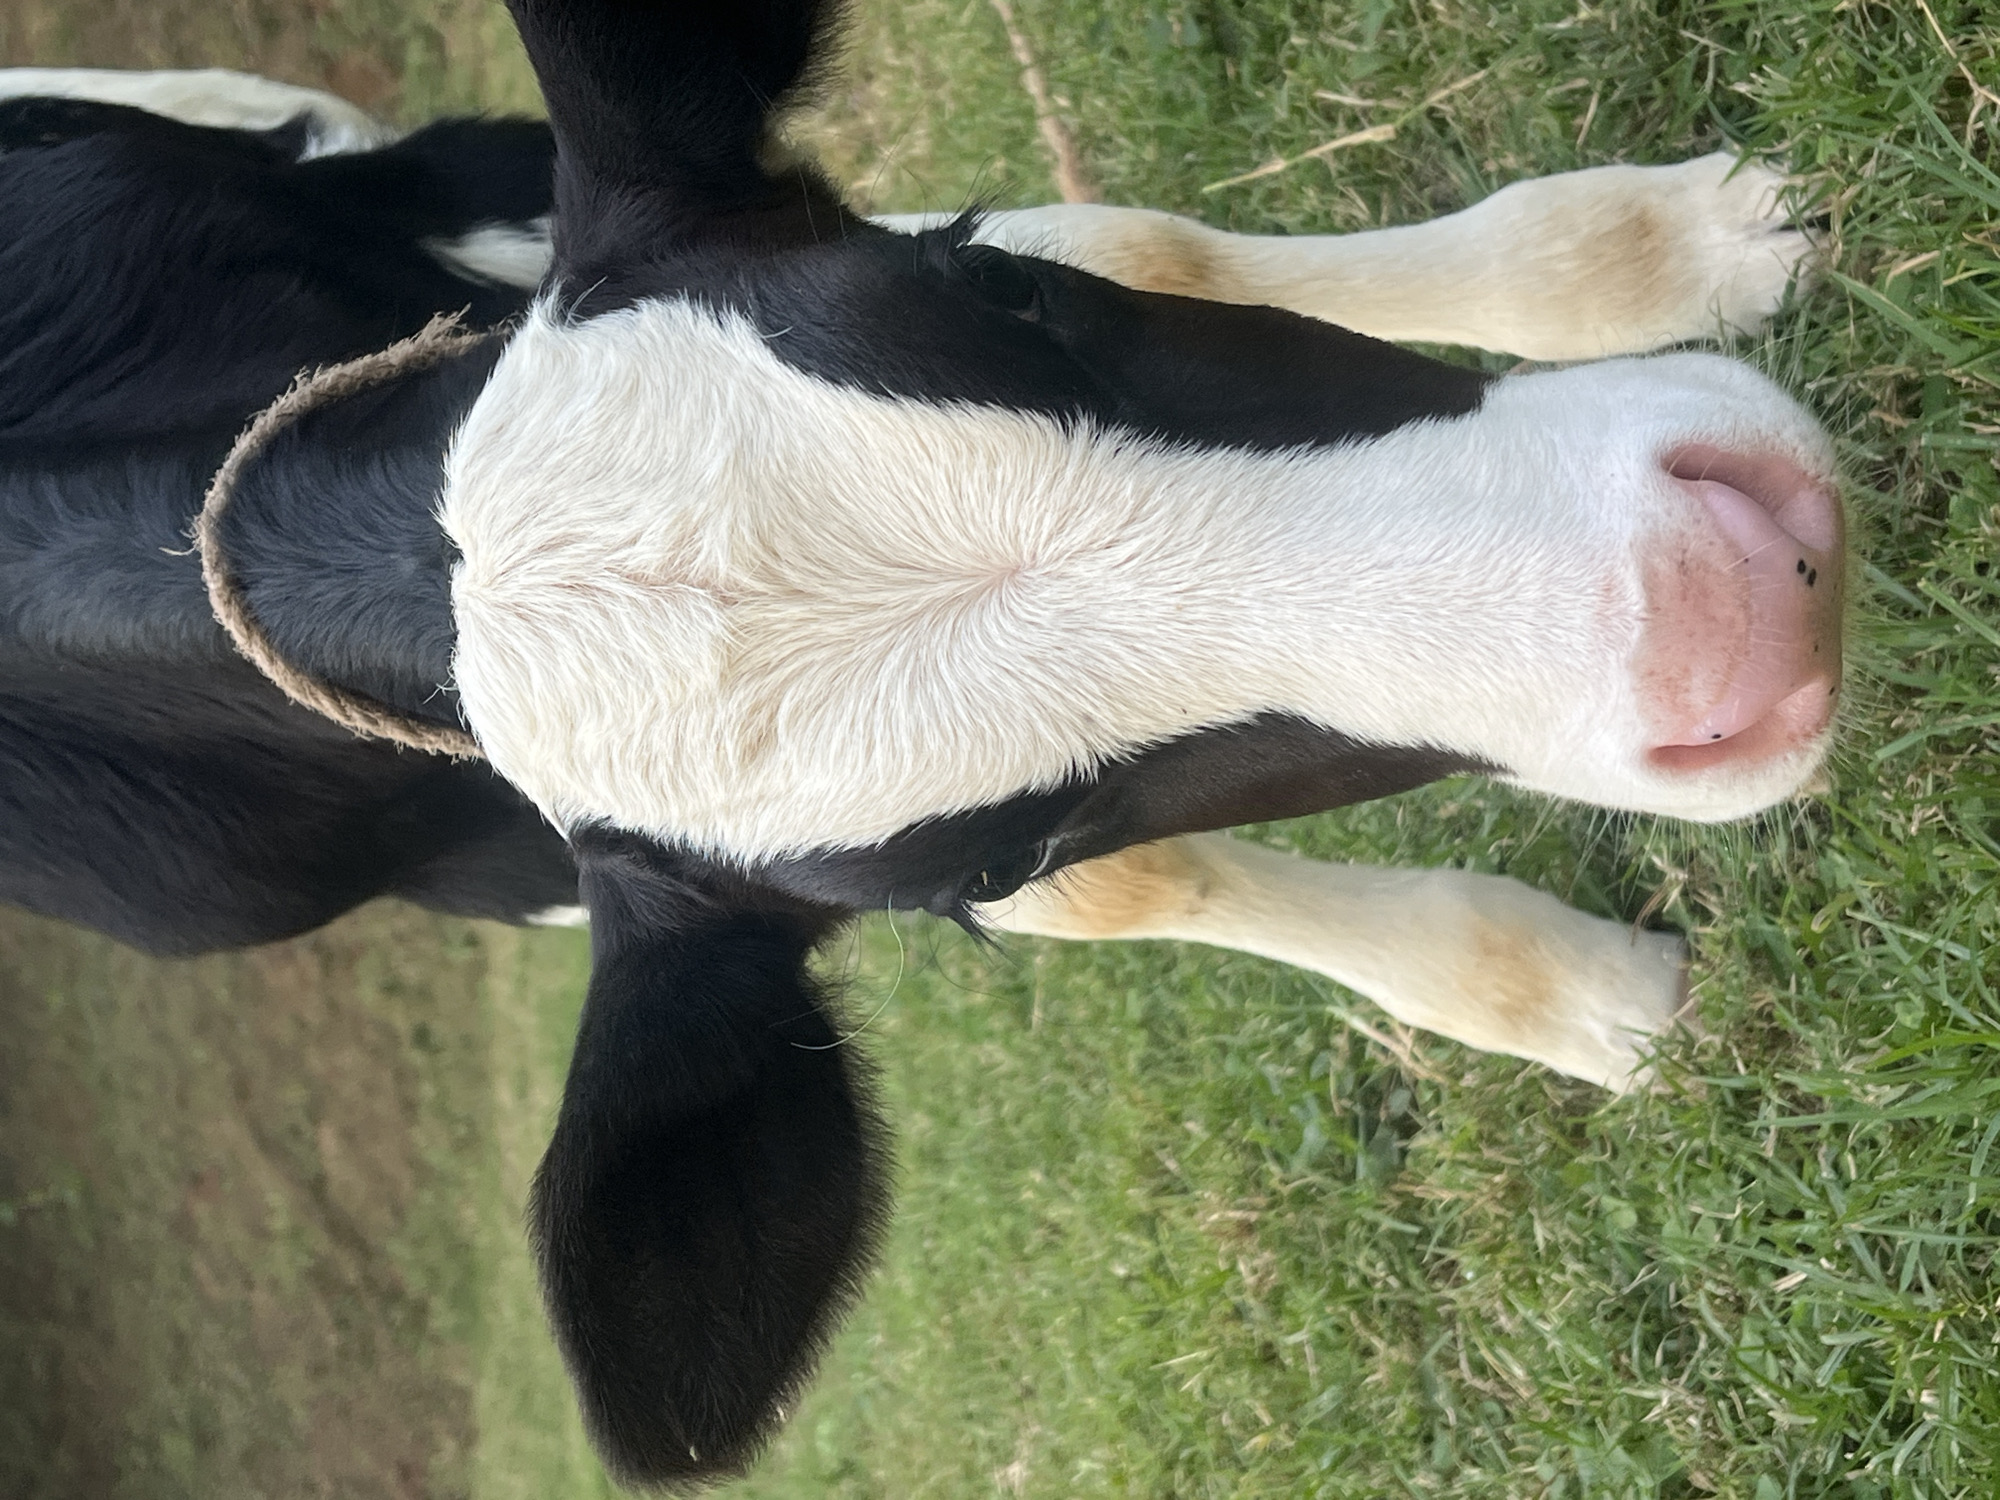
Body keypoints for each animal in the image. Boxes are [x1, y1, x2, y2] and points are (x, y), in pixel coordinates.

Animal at [0, 0, 1842, 1487]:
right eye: (1001, 853)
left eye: (1000, 289)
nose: (1720, 606)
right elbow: (1147, 892)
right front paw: (1588, 1003)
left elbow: (1161, 242)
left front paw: (1673, 244)